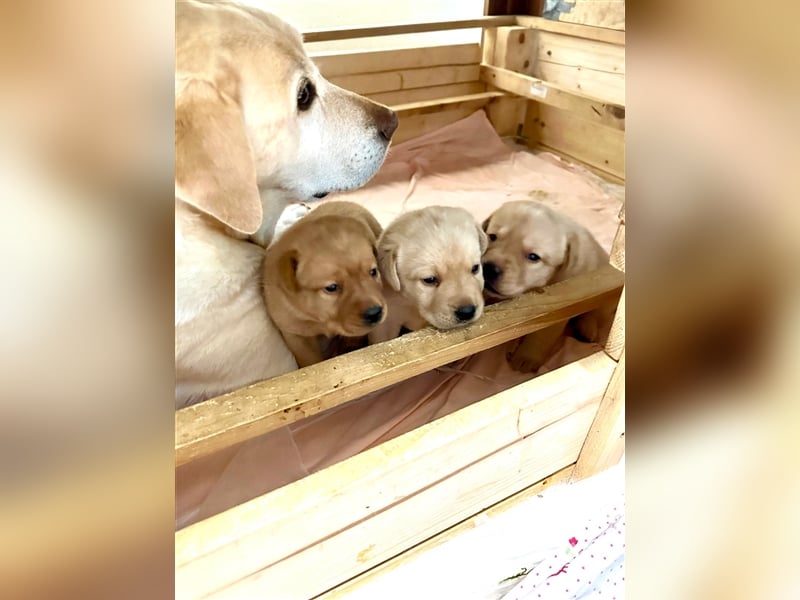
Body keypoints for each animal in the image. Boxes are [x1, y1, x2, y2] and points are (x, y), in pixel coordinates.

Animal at [262, 202, 388, 366]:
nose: (375, 313)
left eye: (373, 272)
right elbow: (310, 361)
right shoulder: (295, 333)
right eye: (331, 288)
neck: (320, 320)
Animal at [482, 200, 612, 370]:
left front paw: (525, 359)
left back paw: (586, 329)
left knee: (594, 312)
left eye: (533, 257)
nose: (488, 269)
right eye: (492, 236)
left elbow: (542, 335)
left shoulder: (558, 307)